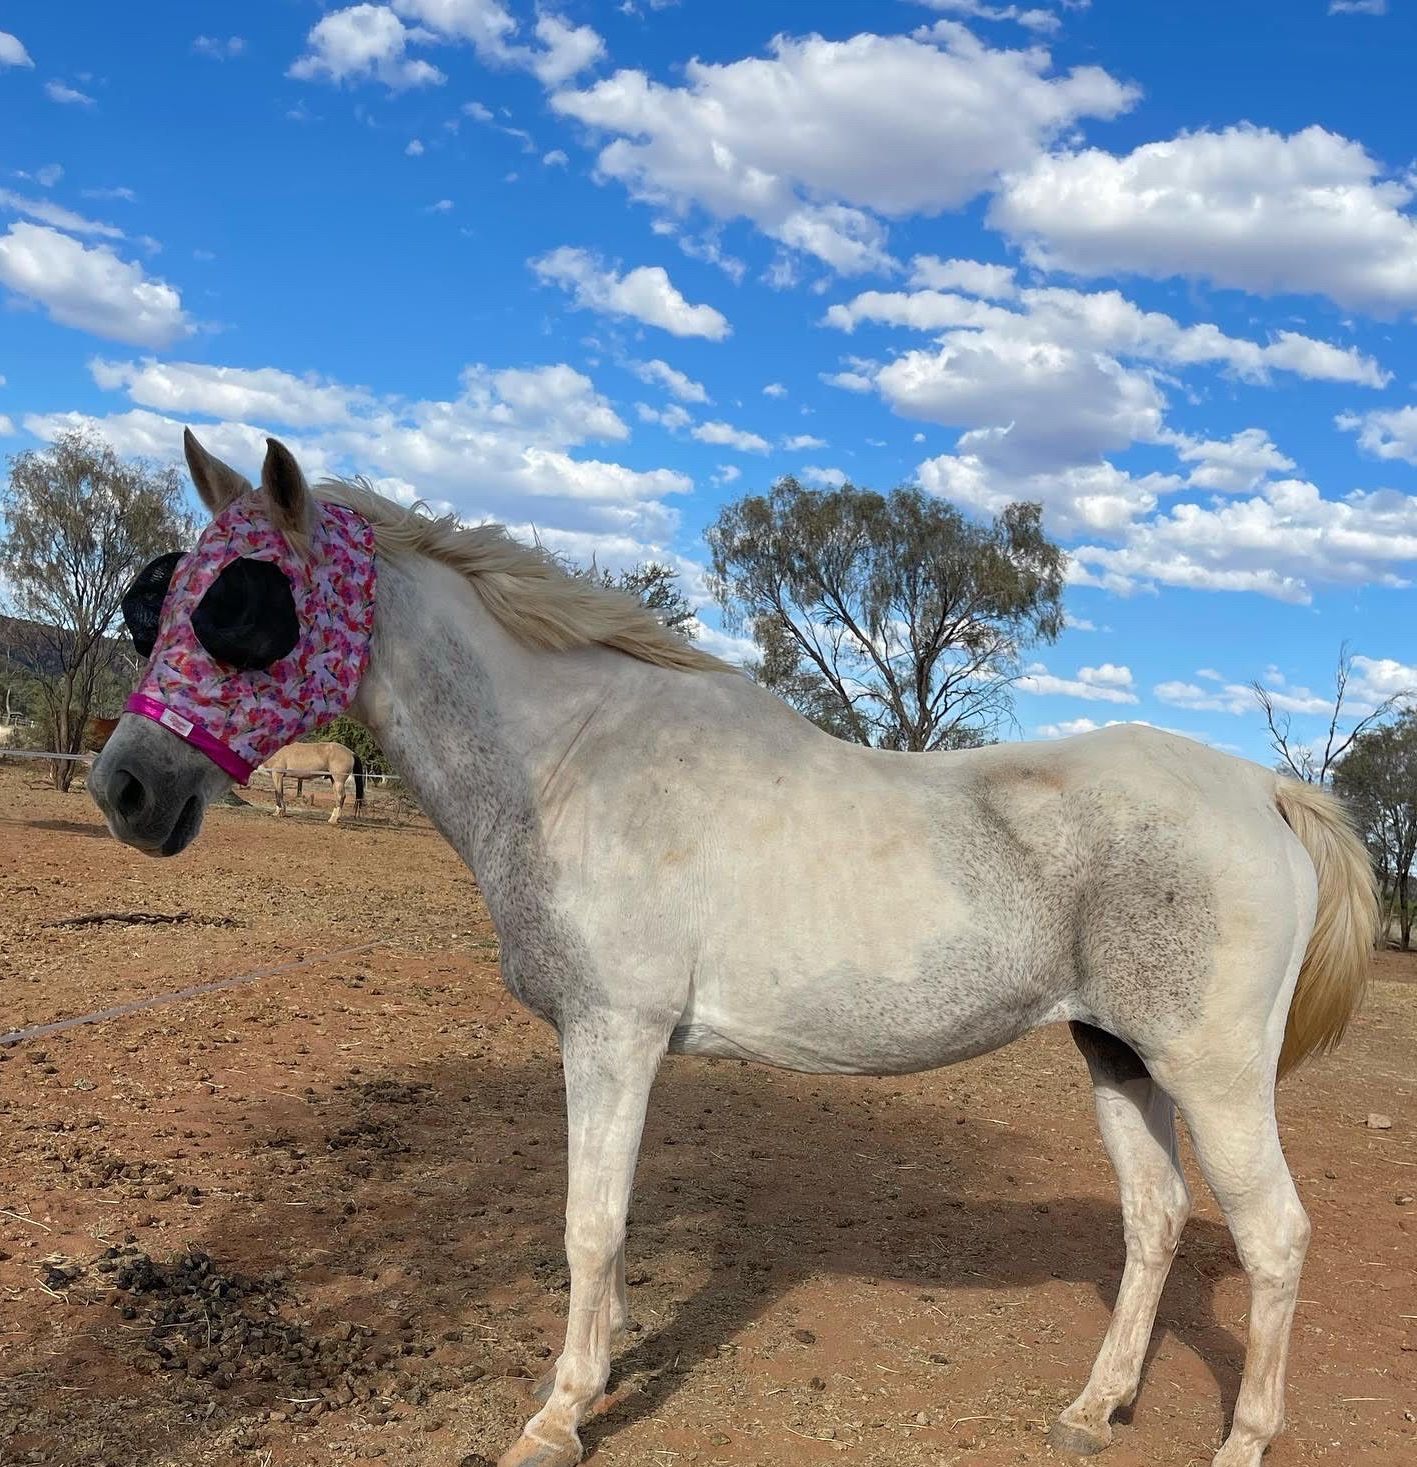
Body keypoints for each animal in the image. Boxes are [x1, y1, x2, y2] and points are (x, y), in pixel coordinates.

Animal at [89, 434, 1377, 1467]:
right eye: (163, 602)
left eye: (242, 605)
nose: (126, 789)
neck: (570, 765)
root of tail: (1261, 790)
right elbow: (605, 1226)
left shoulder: (612, 1037)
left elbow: (590, 1224)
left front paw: (558, 1417)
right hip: (1115, 1054)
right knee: (1155, 1220)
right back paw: (1091, 1410)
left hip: (1212, 1074)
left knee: (1273, 1239)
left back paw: (1242, 1442)